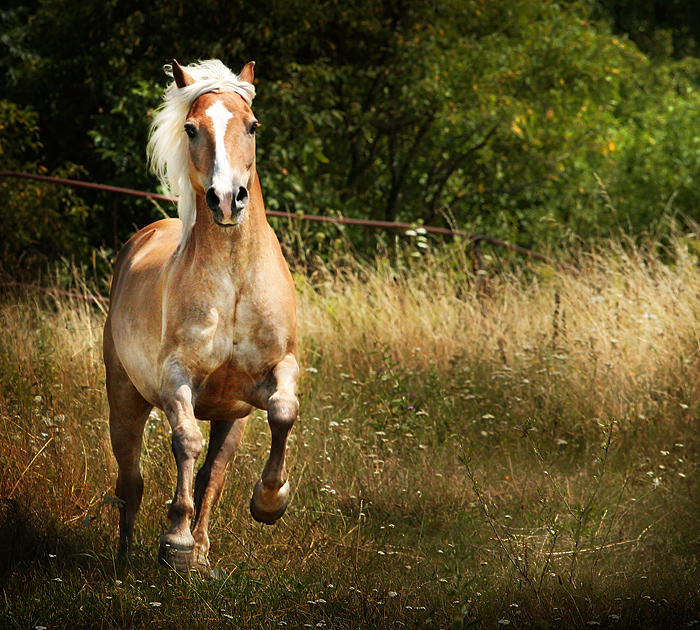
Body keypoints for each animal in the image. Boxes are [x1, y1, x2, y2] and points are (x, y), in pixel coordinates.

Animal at [102, 59, 300, 572]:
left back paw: (203, 556)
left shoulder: (278, 370)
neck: (233, 282)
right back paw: (125, 563)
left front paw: (270, 502)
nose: (227, 199)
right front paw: (175, 540)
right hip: (124, 399)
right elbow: (185, 441)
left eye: (252, 126)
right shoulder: (177, 379)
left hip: (232, 417)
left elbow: (283, 411)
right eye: (192, 128)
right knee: (130, 482)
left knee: (215, 473)